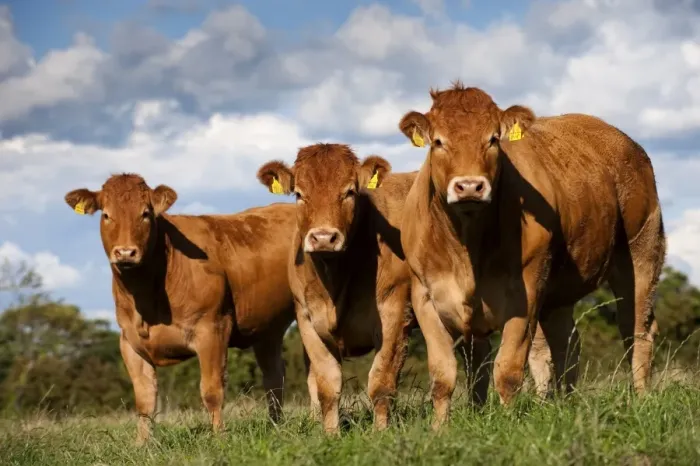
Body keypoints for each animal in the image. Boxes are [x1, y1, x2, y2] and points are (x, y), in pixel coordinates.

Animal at [64, 173, 296, 444]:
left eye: (145, 214)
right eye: (106, 215)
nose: (125, 252)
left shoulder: (213, 329)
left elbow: (212, 391)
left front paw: (219, 438)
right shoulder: (129, 342)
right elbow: (144, 399)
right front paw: (141, 444)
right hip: (267, 328)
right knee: (274, 375)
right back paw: (277, 425)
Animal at [256, 143, 416, 434]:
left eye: (349, 191)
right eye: (299, 193)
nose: (323, 238)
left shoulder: (395, 314)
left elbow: (381, 381)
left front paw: (380, 433)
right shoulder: (307, 320)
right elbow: (327, 386)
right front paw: (331, 434)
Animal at [397, 83, 665, 429]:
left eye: (493, 139)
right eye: (438, 141)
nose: (469, 186)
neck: (467, 244)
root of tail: (625, 140)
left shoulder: (525, 291)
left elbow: (508, 369)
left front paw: (506, 425)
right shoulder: (426, 296)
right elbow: (444, 375)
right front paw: (441, 430)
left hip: (642, 249)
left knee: (636, 329)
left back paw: (642, 398)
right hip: (560, 289)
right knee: (567, 341)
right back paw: (564, 403)